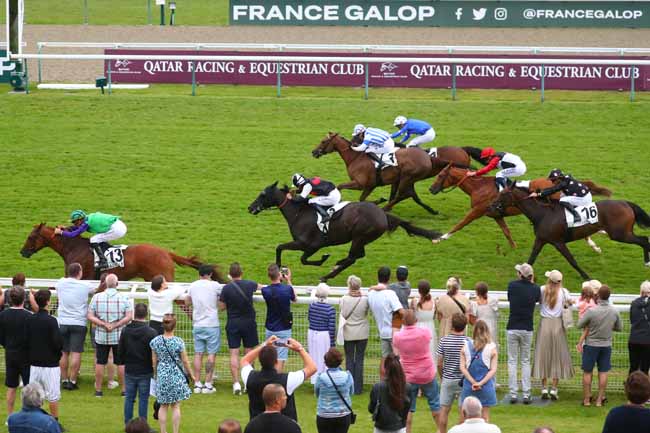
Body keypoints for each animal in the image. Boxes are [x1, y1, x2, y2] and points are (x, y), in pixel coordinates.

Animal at [248, 181, 440, 280]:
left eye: (263, 194)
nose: (250, 208)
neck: (298, 212)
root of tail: (382, 213)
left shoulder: (310, 244)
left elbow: (290, 252)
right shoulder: (307, 245)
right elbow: (284, 250)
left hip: (359, 236)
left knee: (353, 257)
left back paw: (329, 274)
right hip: (362, 239)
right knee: (357, 255)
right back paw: (337, 264)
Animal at [312, 131, 468, 213]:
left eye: (323, 141)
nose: (314, 152)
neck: (356, 157)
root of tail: (428, 157)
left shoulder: (361, 184)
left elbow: (342, 187)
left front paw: (379, 201)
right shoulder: (370, 186)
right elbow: (361, 198)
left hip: (406, 177)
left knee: (402, 194)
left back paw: (386, 207)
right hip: (408, 179)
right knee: (410, 194)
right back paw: (430, 210)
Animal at [428, 165, 612, 250]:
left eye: (440, 175)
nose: (431, 189)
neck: (478, 187)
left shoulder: (476, 211)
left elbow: (459, 224)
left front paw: (440, 238)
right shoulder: (496, 215)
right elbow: (506, 231)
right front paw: (514, 248)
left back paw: (594, 242)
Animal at [486, 187, 648, 278]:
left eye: (503, 194)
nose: (490, 207)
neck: (543, 214)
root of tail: (626, 203)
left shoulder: (558, 242)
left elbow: (572, 260)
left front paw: (586, 276)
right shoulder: (541, 240)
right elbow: (531, 258)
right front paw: (522, 272)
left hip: (620, 234)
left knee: (644, 240)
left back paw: (647, 262)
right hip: (622, 233)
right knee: (644, 239)